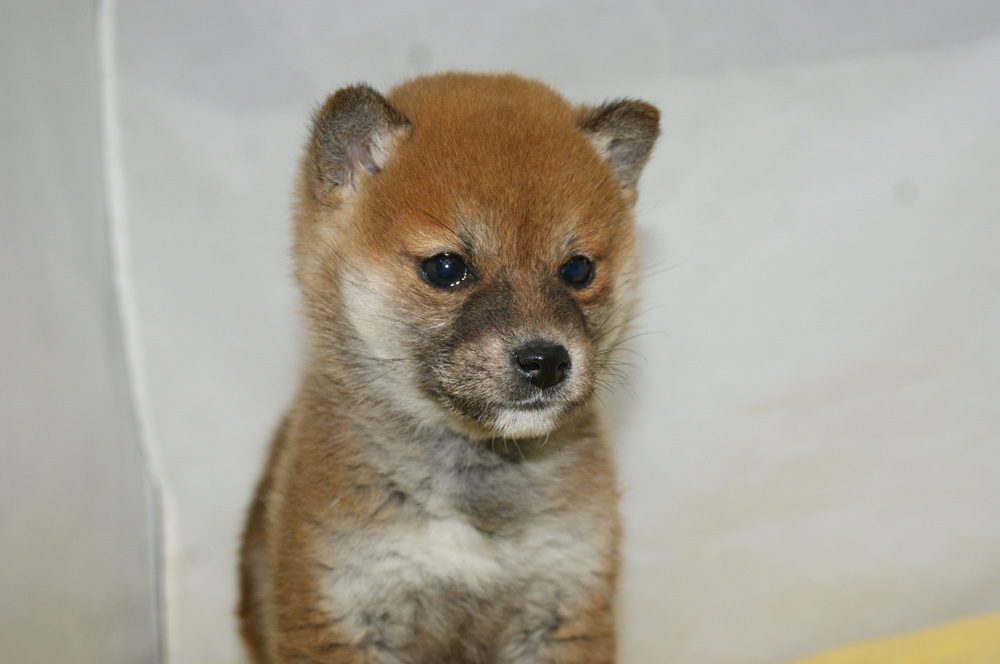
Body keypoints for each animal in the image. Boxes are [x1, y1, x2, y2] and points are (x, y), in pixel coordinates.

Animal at [235, 72, 656, 664]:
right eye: (447, 268)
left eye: (577, 270)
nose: (546, 361)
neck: (471, 491)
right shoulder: (341, 611)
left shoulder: (564, 602)